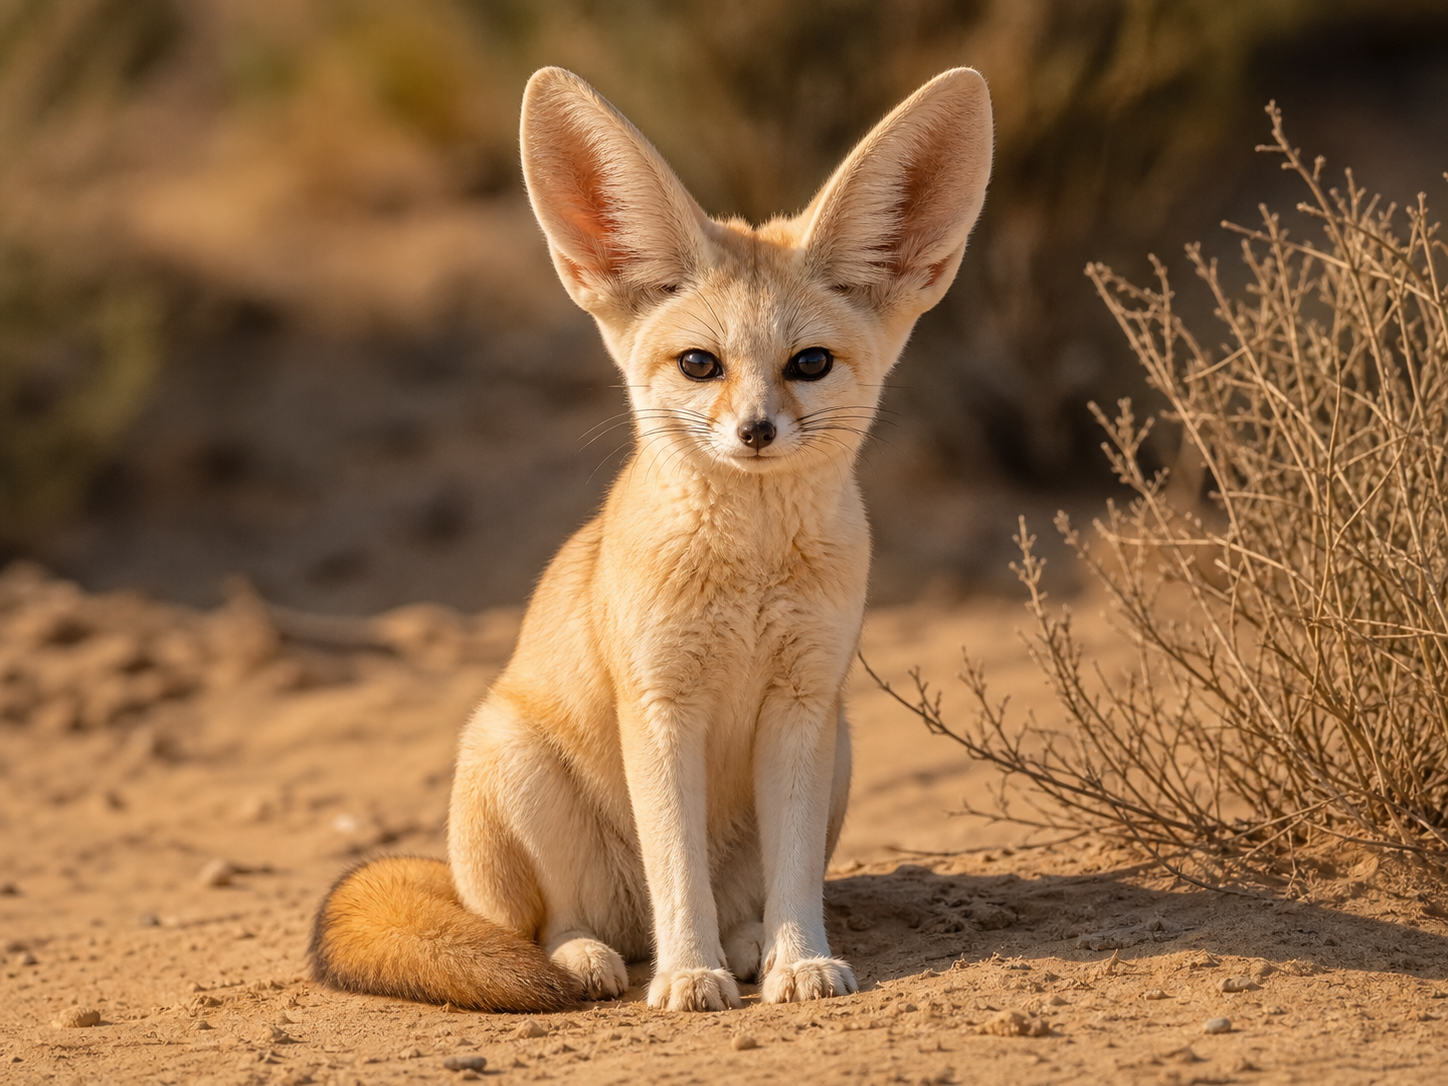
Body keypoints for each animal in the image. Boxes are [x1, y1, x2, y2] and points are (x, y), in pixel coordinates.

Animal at [309, 65, 992, 1013]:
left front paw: (799, 962)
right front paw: (690, 976)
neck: (747, 575)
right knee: (560, 922)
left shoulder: (803, 704)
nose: (755, 432)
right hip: (513, 760)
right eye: (700, 364)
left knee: (736, 896)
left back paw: (746, 946)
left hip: (842, 749)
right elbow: (678, 872)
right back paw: (593, 958)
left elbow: (793, 881)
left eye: (809, 364)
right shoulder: (662, 705)